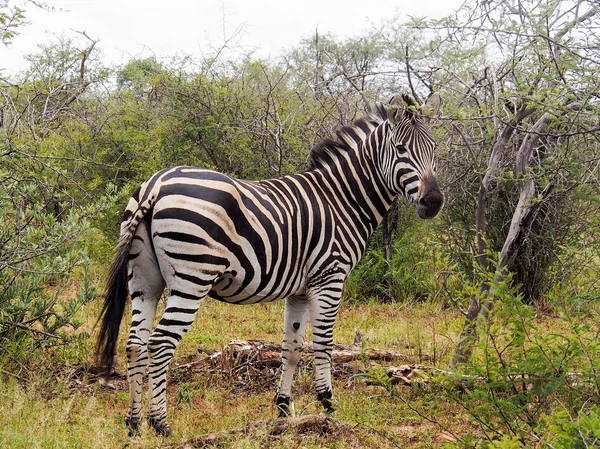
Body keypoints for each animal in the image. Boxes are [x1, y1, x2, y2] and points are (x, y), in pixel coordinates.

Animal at [96, 93, 442, 434]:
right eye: (401, 149)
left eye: (435, 148)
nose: (434, 202)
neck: (342, 200)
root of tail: (156, 185)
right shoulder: (329, 278)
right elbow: (324, 344)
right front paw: (328, 404)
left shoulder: (300, 289)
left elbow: (292, 348)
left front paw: (284, 409)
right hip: (192, 278)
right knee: (160, 343)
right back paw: (161, 424)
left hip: (144, 281)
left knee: (135, 344)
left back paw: (134, 423)